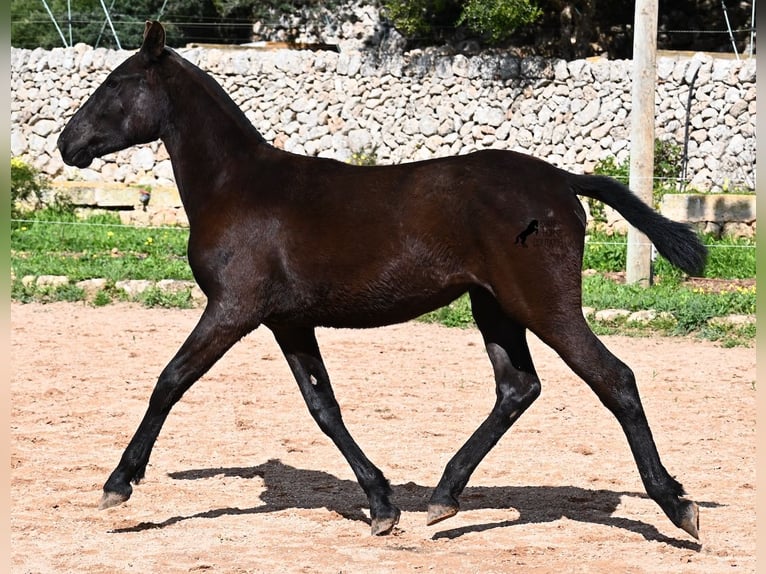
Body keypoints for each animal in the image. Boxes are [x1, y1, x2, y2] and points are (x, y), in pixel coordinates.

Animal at [58, 21, 708, 540]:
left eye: (116, 84)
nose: (68, 144)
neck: (237, 188)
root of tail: (562, 180)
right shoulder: (288, 321)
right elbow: (323, 407)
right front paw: (381, 503)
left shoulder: (233, 308)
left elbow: (170, 381)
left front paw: (119, 483)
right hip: (494, 307)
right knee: (518, 388)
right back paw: (443, 498)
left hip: (542, 304)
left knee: (614, 379)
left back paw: (677, 506)